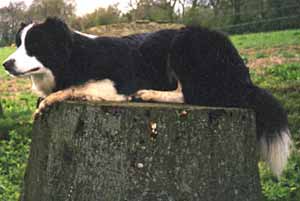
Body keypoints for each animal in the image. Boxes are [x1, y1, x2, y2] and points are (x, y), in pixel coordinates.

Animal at [2, 18, 292, 177]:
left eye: (34, 45)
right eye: (18, 44)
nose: (6, 64)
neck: (72, 57)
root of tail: (243, 74)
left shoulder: (115, 85)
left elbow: (72, 89)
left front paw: (47, 101)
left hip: (185, 42)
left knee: (192, 94)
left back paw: (149, 94)